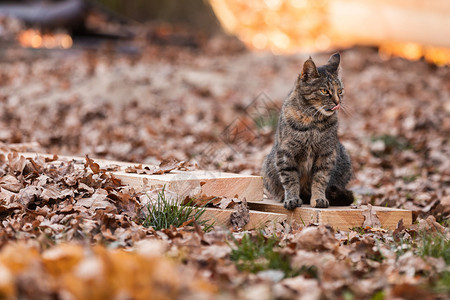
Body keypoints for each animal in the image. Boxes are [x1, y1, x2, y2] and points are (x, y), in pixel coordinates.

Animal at [260, 52, 356, 210]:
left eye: (340, 91)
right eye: (324, 91)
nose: (338, 102)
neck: (313, 122)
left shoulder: (326, 154)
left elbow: (320, 179)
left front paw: (319, 199)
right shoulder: (286, 154)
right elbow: (290, 179)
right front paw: (292, 199)